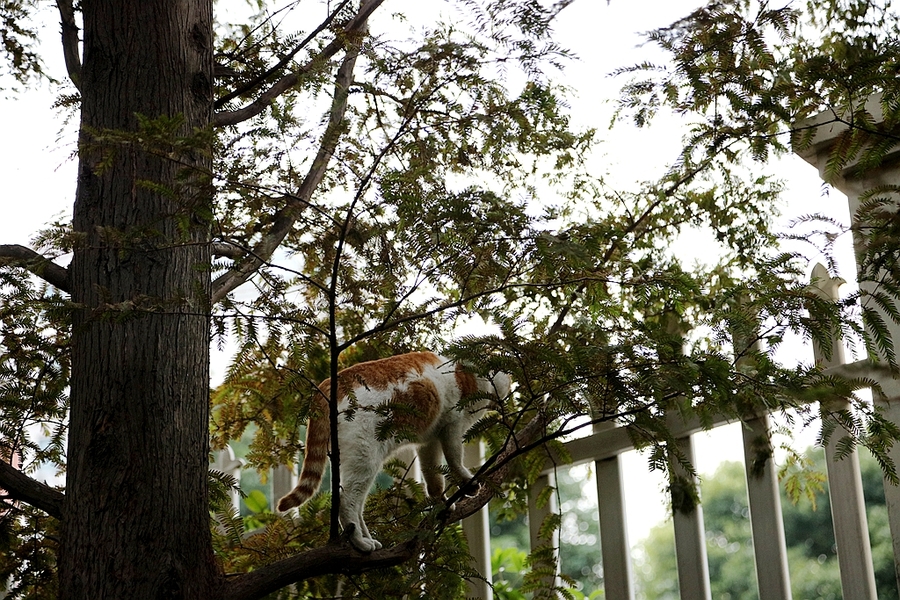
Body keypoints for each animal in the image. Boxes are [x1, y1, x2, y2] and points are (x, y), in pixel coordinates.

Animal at [278, 352, 510, 552]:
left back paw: (367, 538)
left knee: (357, 504)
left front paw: (439, 502)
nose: (505, 399)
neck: (466, 373)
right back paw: (358, 542)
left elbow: (432, 473)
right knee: (347, 501)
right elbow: (454, 460)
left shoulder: (430, 441)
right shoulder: (452, 426)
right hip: (365, 458)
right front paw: (467, 483)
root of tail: (328, 384)